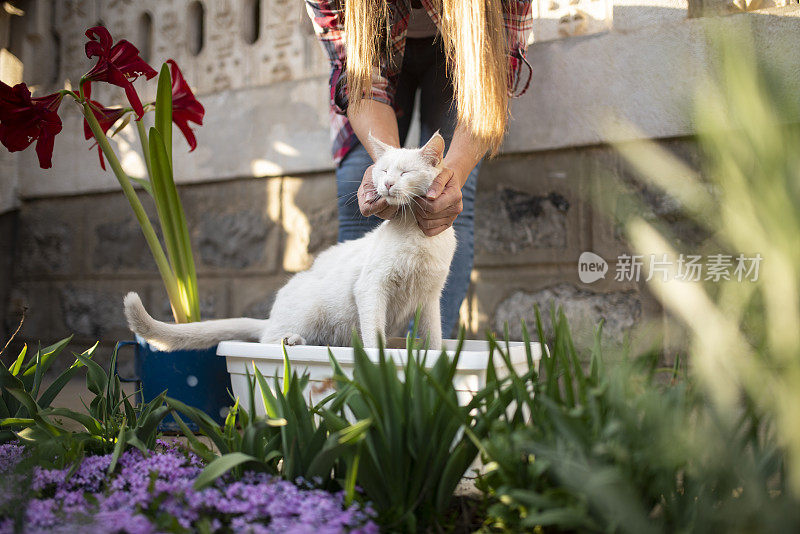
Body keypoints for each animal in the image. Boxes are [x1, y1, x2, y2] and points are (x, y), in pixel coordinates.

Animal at [120, 132, 456, 352]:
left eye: (405, 172)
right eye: (384, 170)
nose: (386, 183)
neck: (415, 233)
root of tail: (270, 318)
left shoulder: (429, 297)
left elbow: (434, 334)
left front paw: (436, 358)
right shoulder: (371, 286)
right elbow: (373, 328)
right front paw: (379, 358)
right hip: (311, 309)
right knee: (267, 341)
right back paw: (291, 341)